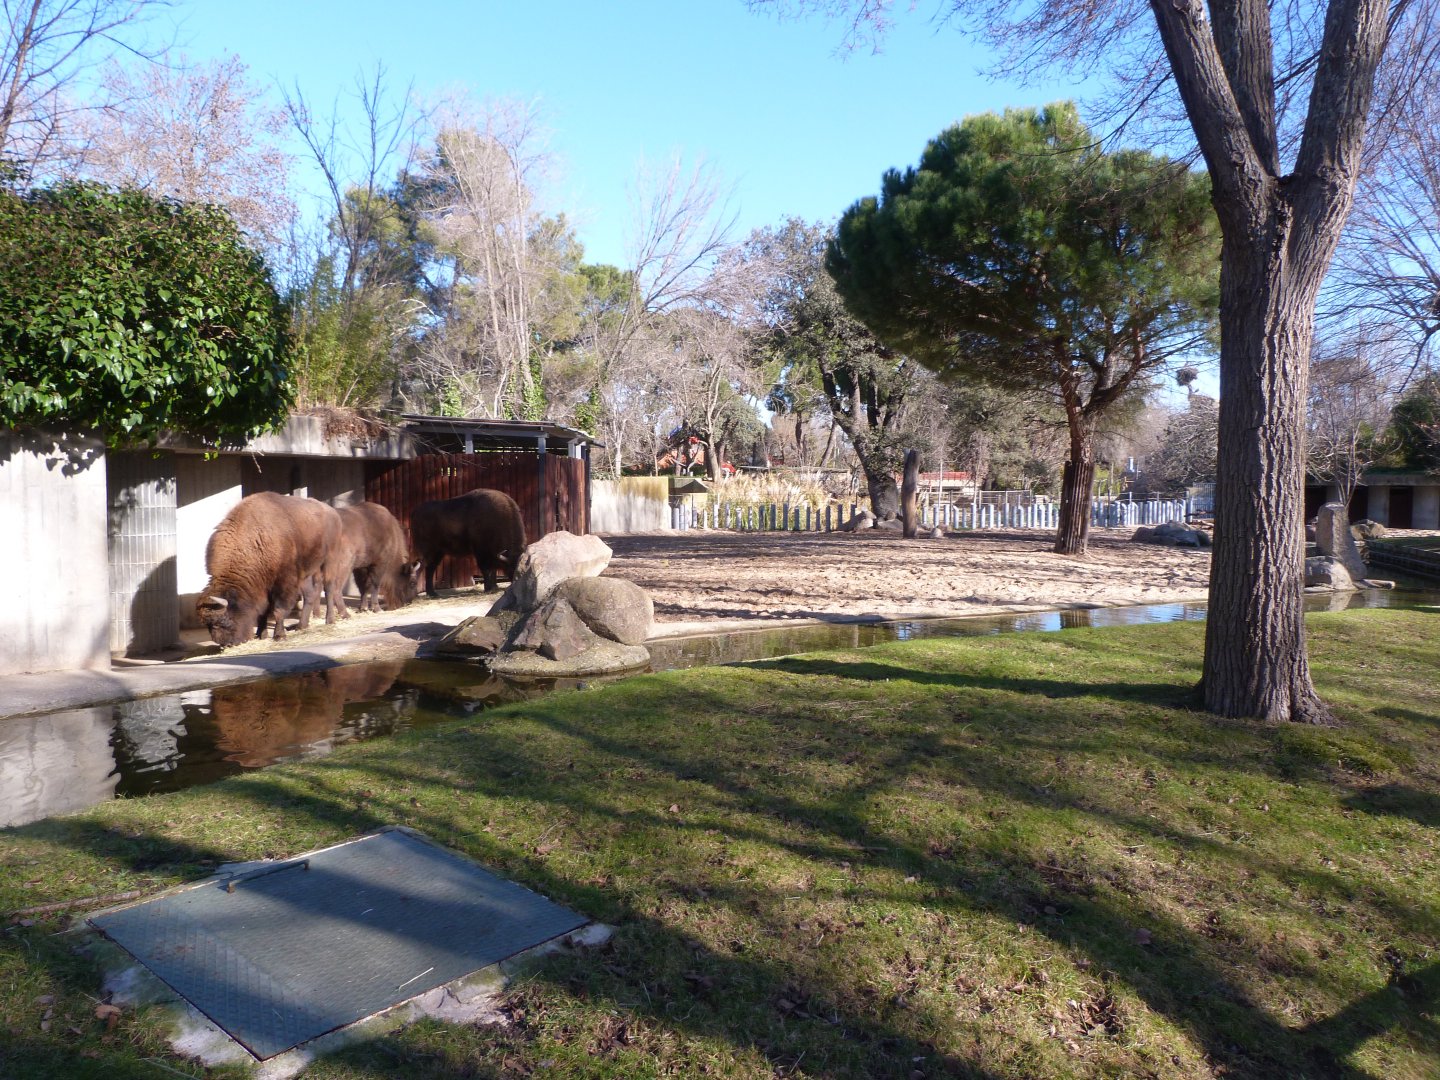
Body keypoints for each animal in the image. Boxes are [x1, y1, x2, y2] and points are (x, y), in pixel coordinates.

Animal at [196, 492, 349, 645]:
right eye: (207, 625)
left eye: (223, 620)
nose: (227, 643)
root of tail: (333, 512)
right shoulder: (263, 586)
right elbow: (263, 611)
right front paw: (261, 634)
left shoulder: (284, 583)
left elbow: (278, 610)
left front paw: (279, 636)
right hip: (305, 573)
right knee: (310, 595)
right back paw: (302, 626)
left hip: (330, 560)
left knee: (329, 588)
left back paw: (329, 620)